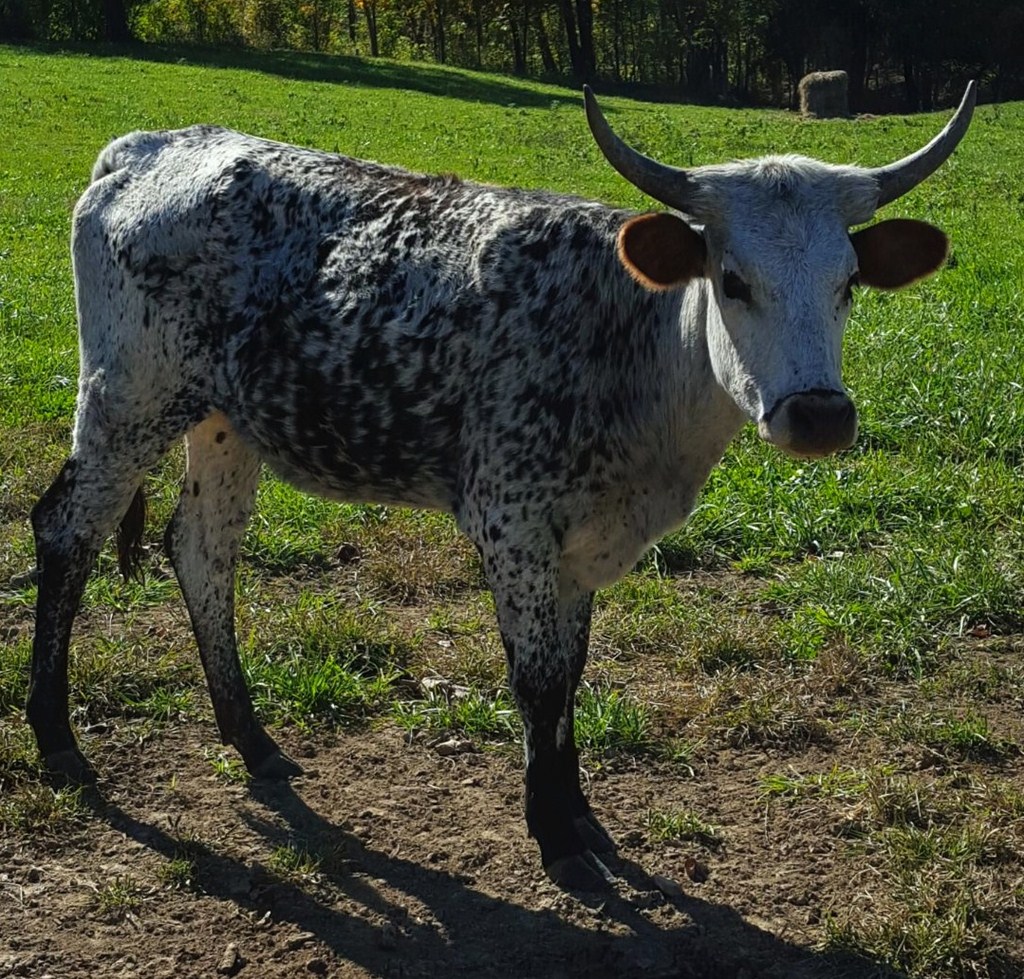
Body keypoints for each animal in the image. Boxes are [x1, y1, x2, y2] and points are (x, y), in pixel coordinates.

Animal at [27, 83, 975, 890]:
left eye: (848, 282)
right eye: (733, 281)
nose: (819, 415)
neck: (625, 341)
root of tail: (148, 145)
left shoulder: (585, 545)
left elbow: (573, 673)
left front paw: (582, 815)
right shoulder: (510, 524)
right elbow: (538, 679)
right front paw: (555, 838)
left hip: (223, 422)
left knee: (201, 552)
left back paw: (251, 737)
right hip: (127, 397)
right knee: (65, 529)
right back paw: (59, 743)